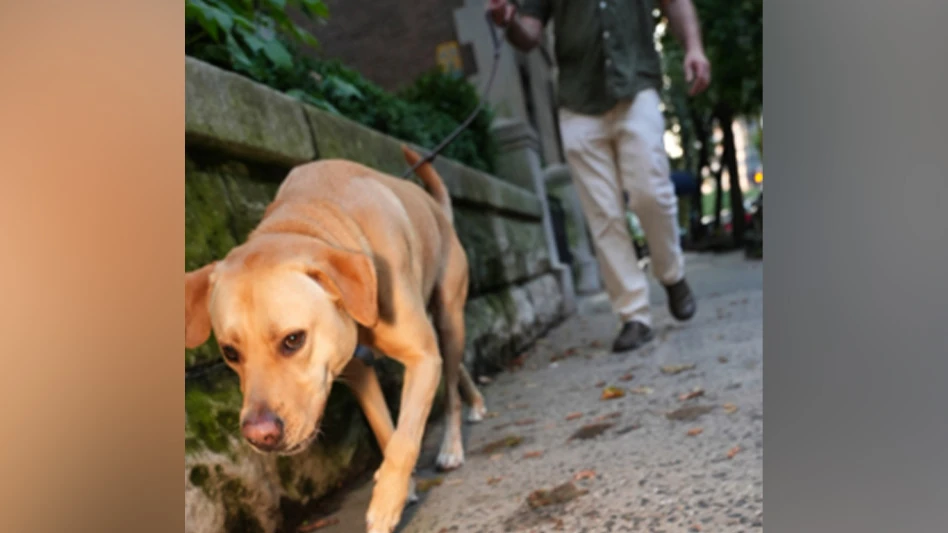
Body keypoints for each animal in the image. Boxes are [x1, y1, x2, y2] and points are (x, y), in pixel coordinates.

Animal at [184, 147, 486, 532]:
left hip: (448, 318)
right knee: (454, 365)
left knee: (449, 386)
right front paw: (402, 489)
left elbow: (404, 440)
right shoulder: (358, 372)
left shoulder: (421, 356)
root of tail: (438, 211)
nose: (259, 436)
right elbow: (386, 432)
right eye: (230, 352)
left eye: (293, 340)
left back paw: (452, 445)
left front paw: (385, 506)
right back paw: (474, 404)